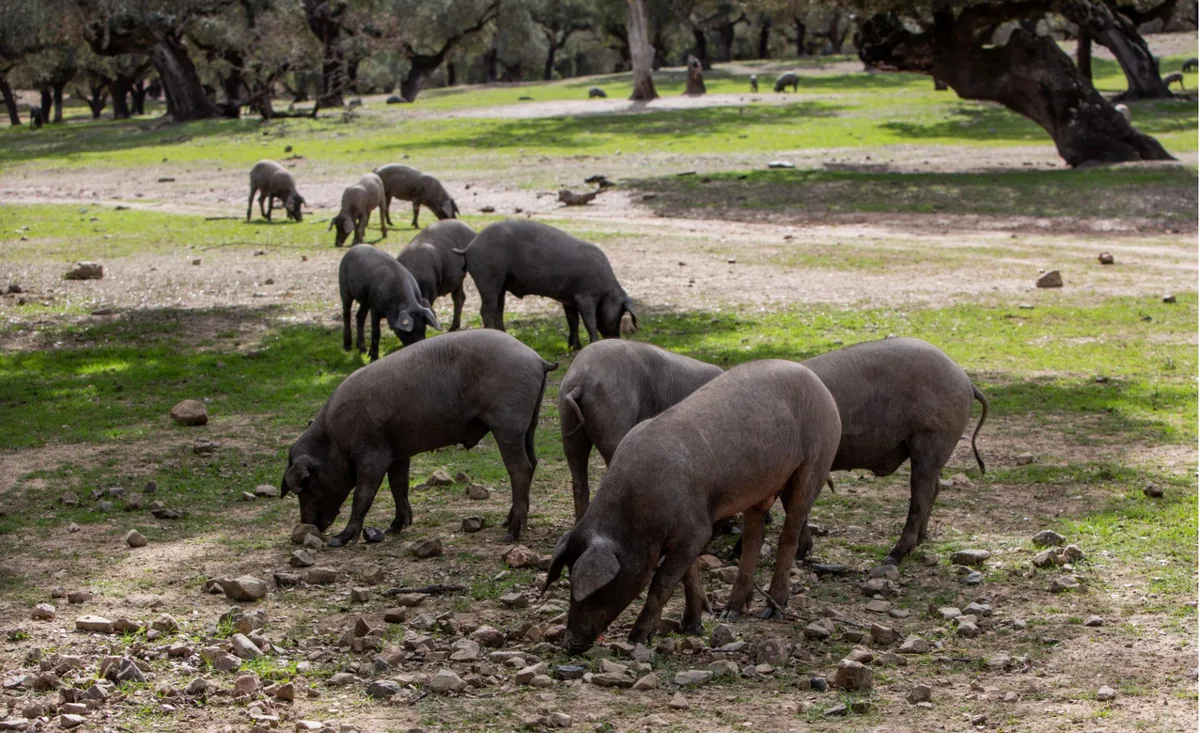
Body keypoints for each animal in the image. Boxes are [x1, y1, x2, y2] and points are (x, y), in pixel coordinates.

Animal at [280, 329, 558, 546]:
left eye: (307, 484)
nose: (309, 525)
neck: (333, 440)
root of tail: (537, 359)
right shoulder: (398, 453)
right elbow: (399, 486)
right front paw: (394, 528)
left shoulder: (373, 455)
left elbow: (363, 495)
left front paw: (339, 540)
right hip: (529, 425)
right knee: (533, 463)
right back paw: (504, 523)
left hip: (508, 423)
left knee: (520, 468)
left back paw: (510, 534)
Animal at [454, 220, 637, 350]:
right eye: (621, 312)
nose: (616, 337)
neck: (607, 290)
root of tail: (470, 246)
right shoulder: (585, 296)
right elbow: (589, 322)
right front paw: (592, 343)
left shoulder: (569, 299)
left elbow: (573, 321)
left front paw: (575, 347)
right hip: (488, 278)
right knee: (486, 310)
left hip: (501, 284)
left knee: (498, 310)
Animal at [544, 360, 841, 652]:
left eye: (597, 590)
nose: (569, 644)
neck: (638, 516)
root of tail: (819, 384)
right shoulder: (688, 534)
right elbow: (688, 576)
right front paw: (690, 627)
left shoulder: (695, 529)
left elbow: (662, 582)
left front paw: (636, 639)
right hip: (759, 489)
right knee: (754, 539)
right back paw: (730, 613)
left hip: (815, 461)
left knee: (789, 534)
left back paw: (772, 610)